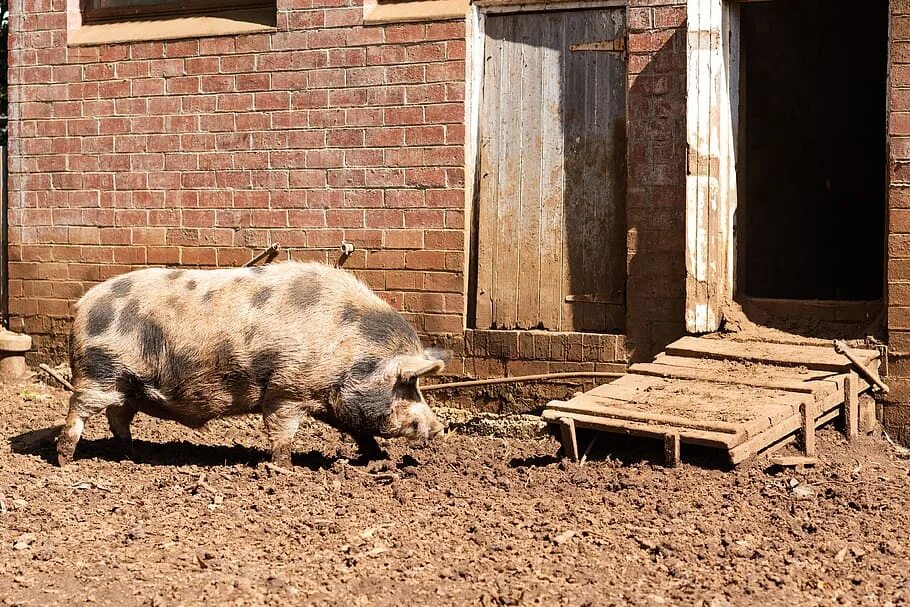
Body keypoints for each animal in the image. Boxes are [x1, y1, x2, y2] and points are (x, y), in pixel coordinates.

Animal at [55, 260, 448, 466]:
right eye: (407, 385)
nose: (440, 427)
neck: (347, 348)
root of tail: (84, 303)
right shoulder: (286, 391)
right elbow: (281, 433)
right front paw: (285, 468)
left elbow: (358, 430)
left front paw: (377, 459)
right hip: (98, 372)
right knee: (78, 410)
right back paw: (65, 460)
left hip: (126, 384)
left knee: (118, 417)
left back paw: (131, 453)